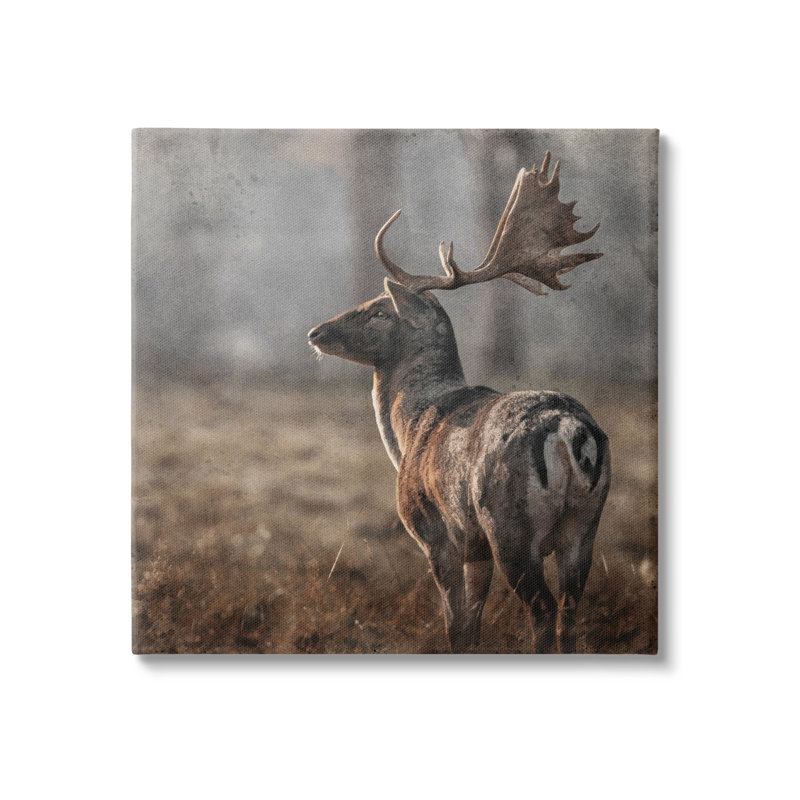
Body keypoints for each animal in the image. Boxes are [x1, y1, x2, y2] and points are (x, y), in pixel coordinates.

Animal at [308, 153, 610, 654]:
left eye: (379, 309)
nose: (316, 332)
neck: (410, 428)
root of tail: (572, 432)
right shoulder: (476, 548)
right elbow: (472, 624)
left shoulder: (436, 532)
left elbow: (455, 625)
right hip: (584, 525)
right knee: (570, 613)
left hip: (510, 525)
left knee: (543, 609)